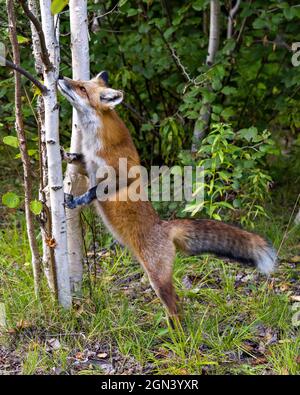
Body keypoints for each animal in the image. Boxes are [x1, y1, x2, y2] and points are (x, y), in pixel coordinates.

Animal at [57, 72, 278, 322]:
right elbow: (80, 160)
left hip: (157, 278)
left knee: (176, 307)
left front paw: (76, 200)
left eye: (82, 88)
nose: (61, 77)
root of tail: (164, 225)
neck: (95, 141)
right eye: (79, 83)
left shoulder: (124, 176)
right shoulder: (89, 164)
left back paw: (178, 332)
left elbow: (94, 191)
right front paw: (64, 153)